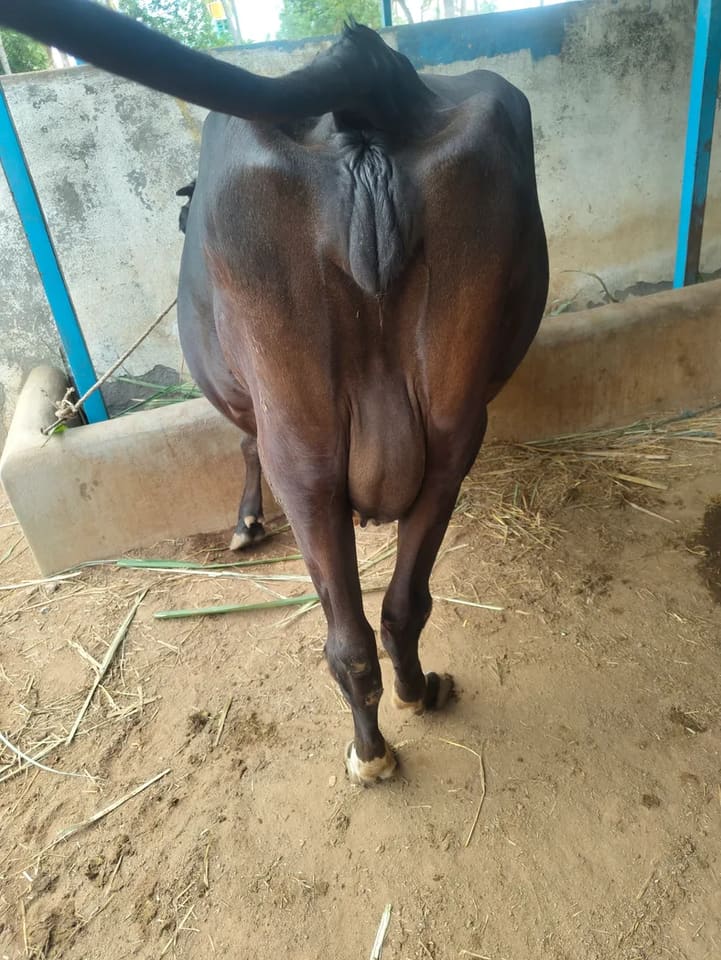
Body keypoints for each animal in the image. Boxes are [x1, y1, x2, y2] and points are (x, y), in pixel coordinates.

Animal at [0, 0, 548, 785]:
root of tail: (368, 76)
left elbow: (242, 443)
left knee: (344, 630)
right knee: (399, 606)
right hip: (449, 426)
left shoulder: (243, 403)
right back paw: (416, 696)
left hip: (302, 437)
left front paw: (245, 523)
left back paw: (370, 752)